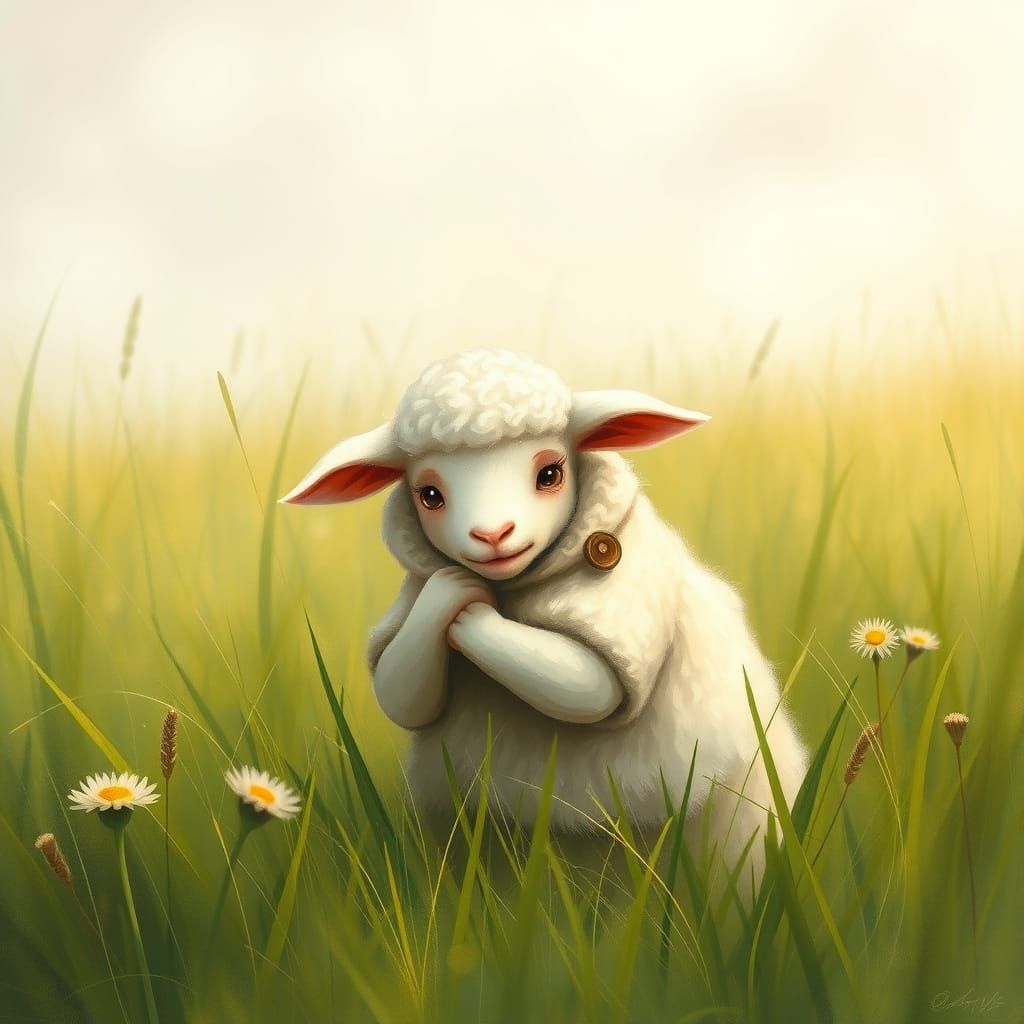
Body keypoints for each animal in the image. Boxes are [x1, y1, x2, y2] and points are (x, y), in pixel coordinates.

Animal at [282, 348, 808, 872]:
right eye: (429, 495)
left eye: (549, 475)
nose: (492, 534)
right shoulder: (408, 606)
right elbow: (401, 691)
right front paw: (450, 591)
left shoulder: (630, 594)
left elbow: (586, 684)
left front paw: (464, 604)